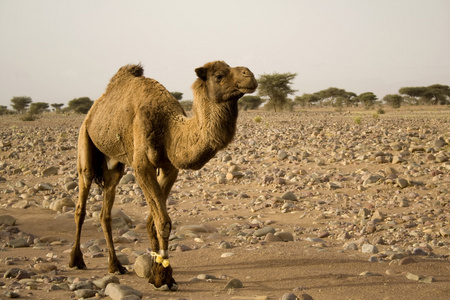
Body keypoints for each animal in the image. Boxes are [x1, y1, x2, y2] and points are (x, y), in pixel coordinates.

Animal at [67, 60, 256, 290]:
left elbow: (153, 221)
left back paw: (116, 265)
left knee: (106, 210)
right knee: (81, 203)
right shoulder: (142, 166)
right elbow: (163, 221)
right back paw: (76, 260)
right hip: (84, 138)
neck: (170, 128)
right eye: (219, 75)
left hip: (114, 164)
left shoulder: (169, 167)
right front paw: (163, 277)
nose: (250, 76)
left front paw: (155, 269)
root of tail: (93, 109)